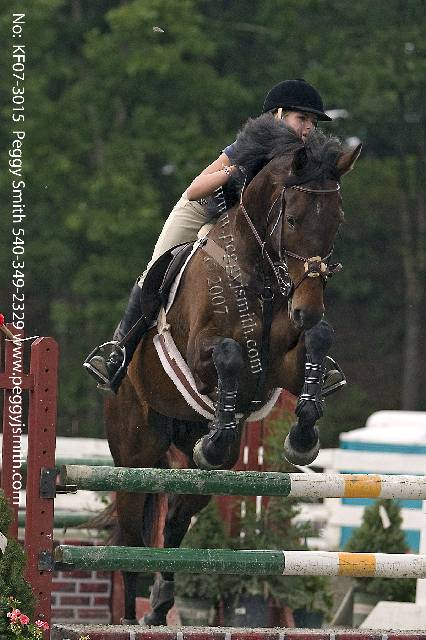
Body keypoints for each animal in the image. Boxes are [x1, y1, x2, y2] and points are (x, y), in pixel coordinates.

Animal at [105, 114, 362, 624]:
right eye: (293, 218)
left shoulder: (281, 364)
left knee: (177, 519)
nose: (308, 310)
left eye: (337, 220)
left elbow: (316, 347)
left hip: (189, 462)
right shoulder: (203, 351)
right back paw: (126, 618)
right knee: (129, 533)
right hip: (133, 453)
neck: (262, 271)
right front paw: (224, 434)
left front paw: (301, 438)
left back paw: (161, 604)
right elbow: (227, 354)